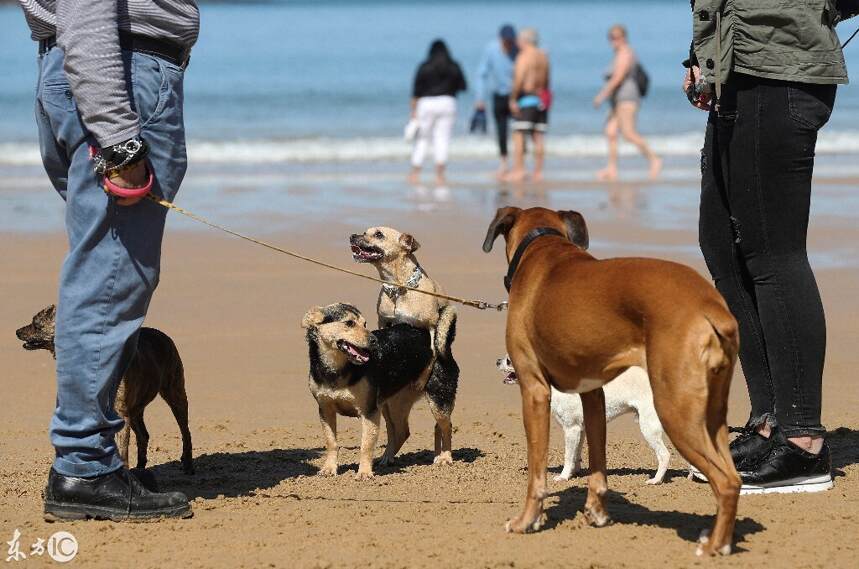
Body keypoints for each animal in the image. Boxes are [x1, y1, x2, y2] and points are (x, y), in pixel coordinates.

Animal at [16, 306, 195, 474]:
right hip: (136, 409)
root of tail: (163, 335)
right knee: (143, 435)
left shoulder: (121, 415)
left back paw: (187, 463)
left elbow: (122, 451)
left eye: (36, 324)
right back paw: (140, 468)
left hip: (174, 393)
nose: (17, 331)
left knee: (185, 431)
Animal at [304, 302, 460, 474]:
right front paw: (329, 469)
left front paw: (364, 473)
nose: (374, 340)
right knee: (402, 431)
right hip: (391, 404)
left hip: (438, 400)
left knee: (446, 426)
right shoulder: (326, 410)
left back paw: (445, 458)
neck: (338, 369)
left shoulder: (369, 411)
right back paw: (388, 458)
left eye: (365, 324)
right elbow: (331, 442)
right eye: (349, 323)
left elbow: (366, 445)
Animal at [488, 205, 744, 556]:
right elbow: (597, 467)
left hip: (675, 412)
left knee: (726, 482)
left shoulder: (535, 390)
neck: (543, 247)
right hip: (712, 416)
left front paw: (527, 521)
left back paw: (715, 546)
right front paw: (596, 514)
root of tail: (711, 305)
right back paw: (719, 537)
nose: (498, 361)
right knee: (733, 476)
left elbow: (537, 474)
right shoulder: (593, 394)